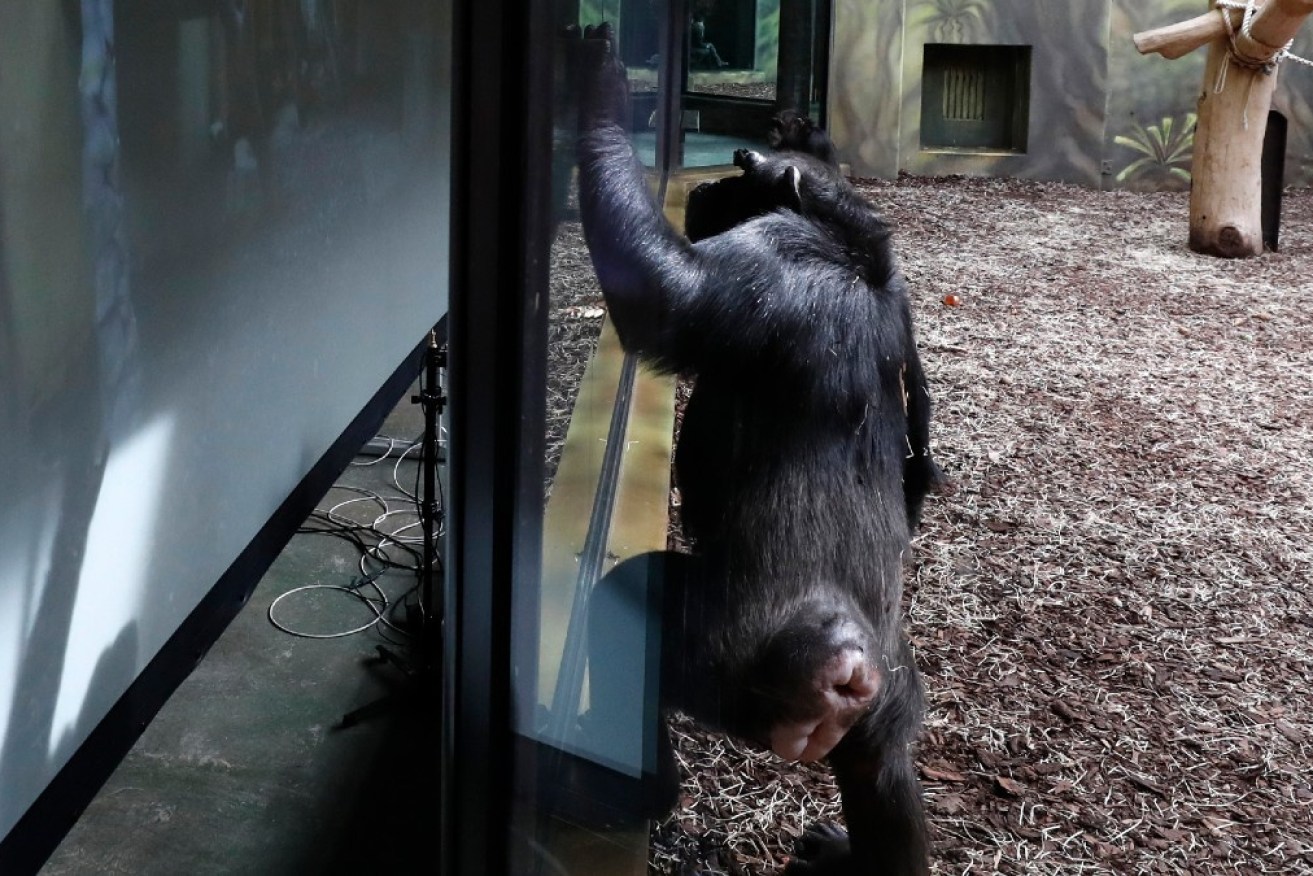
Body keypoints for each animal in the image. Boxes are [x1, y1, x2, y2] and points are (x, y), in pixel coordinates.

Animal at [580, 23, 940, 872]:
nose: (703, 193)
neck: (849, 241)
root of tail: (850, 672)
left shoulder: (768, 257)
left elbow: (661, 294)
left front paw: (600, 85)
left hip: (727, 659)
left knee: (622, 617)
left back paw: (633, 789)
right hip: (889, 691)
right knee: (881, 769)